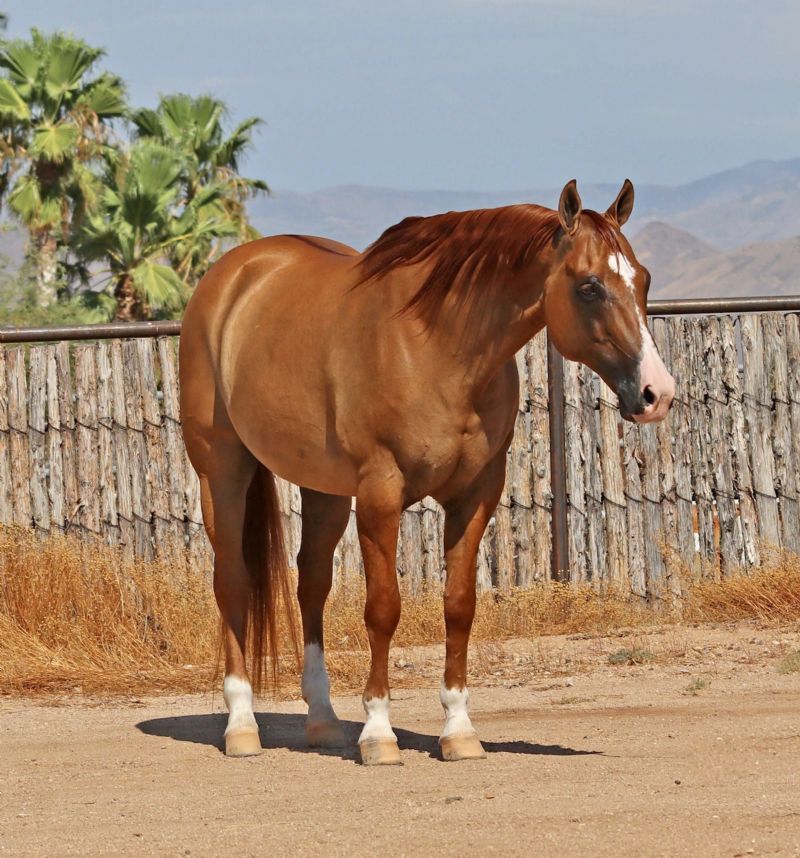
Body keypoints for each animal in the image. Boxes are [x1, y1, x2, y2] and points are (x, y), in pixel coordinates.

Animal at [179, 179, 675, 765]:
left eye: (643, 278)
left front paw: (459, 730)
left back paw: (323, 721)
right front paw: (378, 734)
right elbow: (383, 609)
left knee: (312, 585)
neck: (436, 347)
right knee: (232, 581)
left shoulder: (475, 496)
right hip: (222, 470)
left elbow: (459, 606)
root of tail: (233, 276)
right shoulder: (380, 495)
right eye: (590, 287)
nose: (657, 393)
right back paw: (241, 724)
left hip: (324, 490)